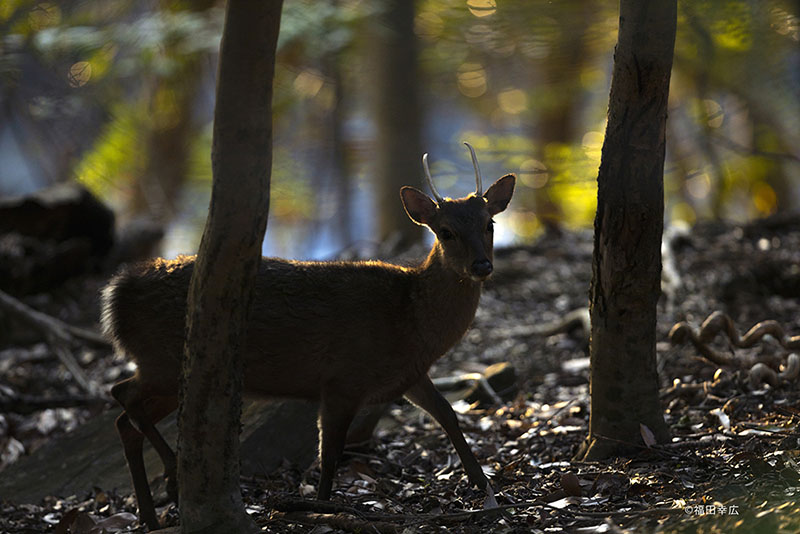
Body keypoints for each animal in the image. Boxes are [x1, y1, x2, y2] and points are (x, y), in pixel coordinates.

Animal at [103, 142, 516, 532]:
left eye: (490, 224)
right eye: (445, 231)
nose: (482, 265)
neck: (410, 319)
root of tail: (116, 296)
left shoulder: (407, 376)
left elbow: (448, 414)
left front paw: (485, 487)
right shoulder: (342, 380)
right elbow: (328, 454)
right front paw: (321, 508)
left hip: (171, 374)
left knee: (125, 418)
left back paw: (151, 517)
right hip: (163, 360)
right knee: (122, 394)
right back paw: (171, 477)